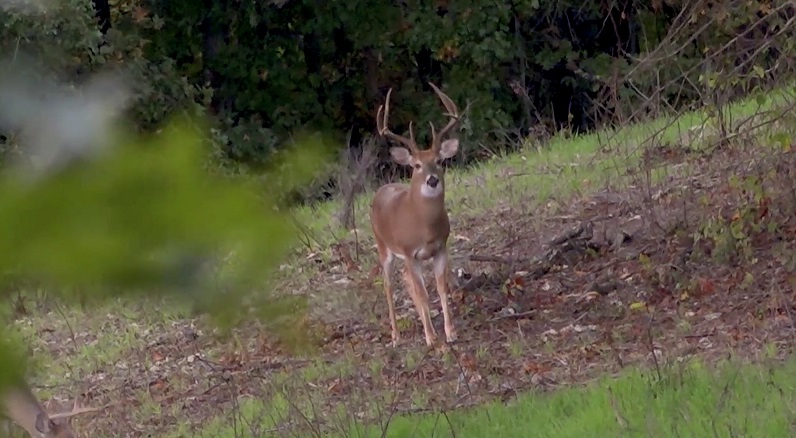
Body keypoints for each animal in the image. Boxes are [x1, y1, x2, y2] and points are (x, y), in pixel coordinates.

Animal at [372, 83, 464, 350]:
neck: (425, 227)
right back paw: (395, 336)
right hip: (384, 246)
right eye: (416, 165)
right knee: (388, 284)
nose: (432, 180)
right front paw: (431, 337)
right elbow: (423, 293)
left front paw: (450, 332)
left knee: (406, 280)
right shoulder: (410, 251)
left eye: (439, 161)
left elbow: (441, 288)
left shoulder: (440, 247)